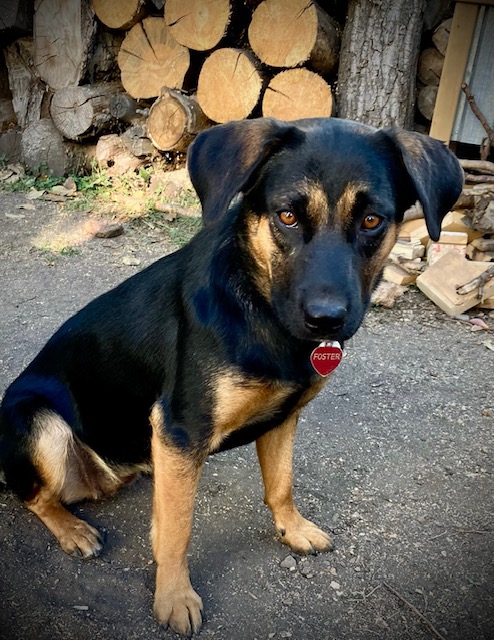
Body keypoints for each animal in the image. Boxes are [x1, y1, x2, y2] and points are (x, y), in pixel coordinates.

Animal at [0, 117, 463, 636]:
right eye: (287, 216)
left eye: (371, 221)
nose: (327, 321)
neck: (259, 309)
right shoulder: (182, 429)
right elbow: (179, 530)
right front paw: (174, 596)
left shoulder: (283, 418)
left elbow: (280, 484)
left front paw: (293, 529)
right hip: (36, 419)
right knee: (34, 495)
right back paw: (73, 529)